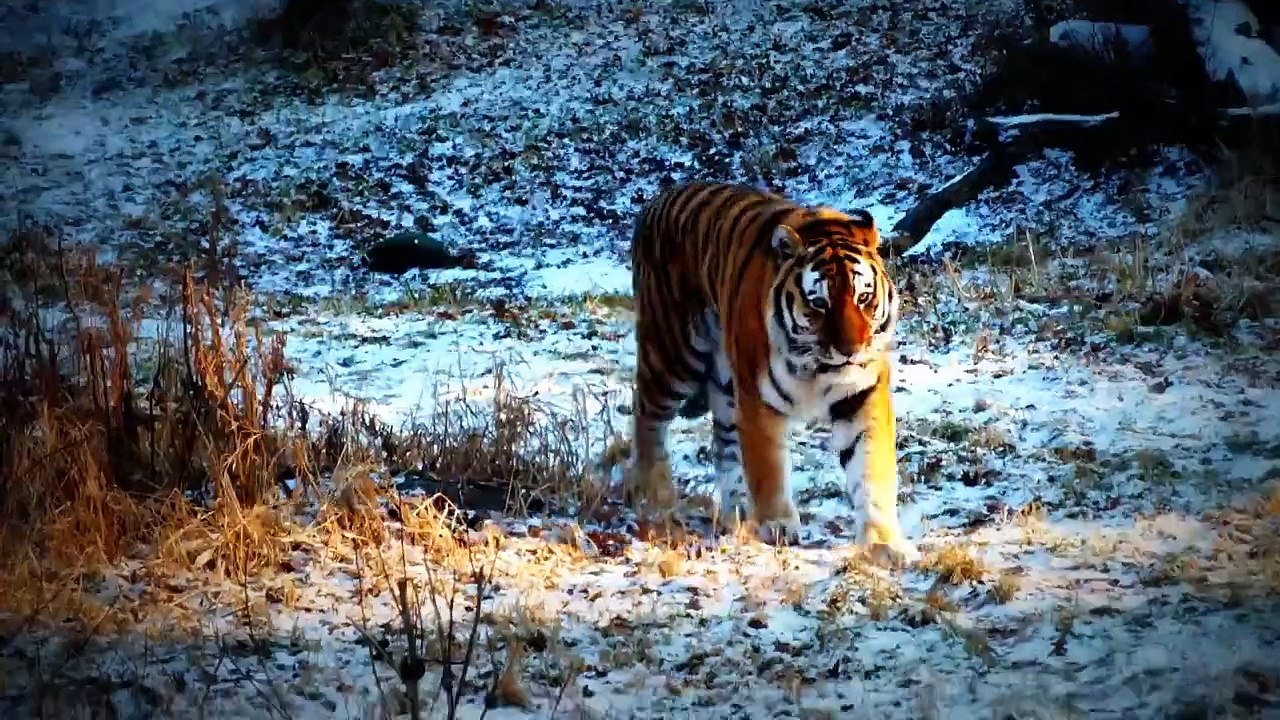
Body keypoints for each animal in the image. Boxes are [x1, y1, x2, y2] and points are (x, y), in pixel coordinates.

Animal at [626, 181, 918, 568]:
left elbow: (871, 471)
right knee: (647, 414)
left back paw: (735, 513)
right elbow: (769, 469)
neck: (817, 367)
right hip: (674, 353)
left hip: (724, 380)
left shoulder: (863, 397)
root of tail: (656, 199)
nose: (851, 350)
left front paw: (884, 543)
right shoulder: (758, 399)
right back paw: (655, 494)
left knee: (722, 442)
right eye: (819, 303)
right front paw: (777, 525)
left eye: (863, 298)